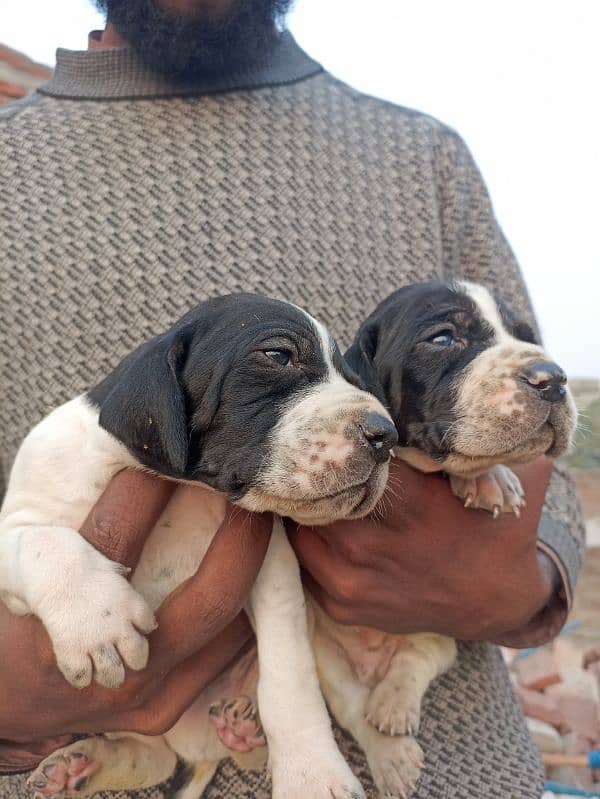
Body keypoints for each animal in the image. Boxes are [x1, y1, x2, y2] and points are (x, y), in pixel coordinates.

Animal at [0, 292, 396, 799]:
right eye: (278, 355)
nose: (387, 435)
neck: (185, 487)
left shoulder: (273, 573)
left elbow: (290, 680)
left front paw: (312, 771)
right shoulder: (30, 507)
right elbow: (42, 542)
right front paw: (95, 619)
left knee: (168, 757)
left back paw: (239, 733)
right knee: (151, 756)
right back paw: (78, 766)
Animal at [310, 276, 576, 799]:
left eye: (526, 337)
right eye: (443, 338)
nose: (553, 377)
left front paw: (491, 479)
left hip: (438, 631)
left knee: (413, 661)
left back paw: (394, 707)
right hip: (327, 662)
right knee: (354, 710)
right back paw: (391, 756)